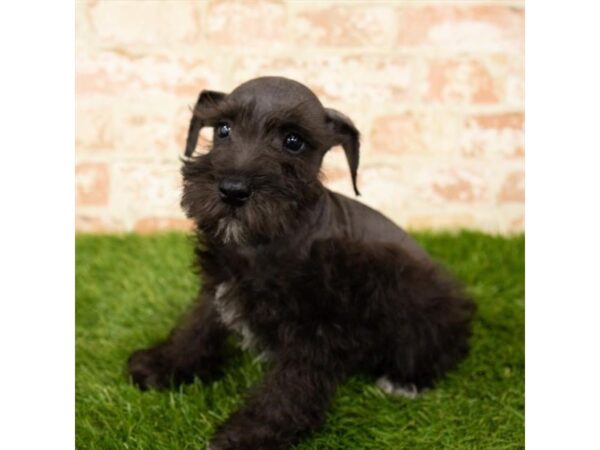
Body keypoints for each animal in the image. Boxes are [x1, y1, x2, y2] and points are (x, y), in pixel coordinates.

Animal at [129, 75, 476, 448]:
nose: (232, 190)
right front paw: (162, 365)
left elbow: (289, 384)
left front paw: (250, 434)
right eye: (223, 129)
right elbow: (196, 326)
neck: (263, 242)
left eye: (293, 141)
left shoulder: (316, 325)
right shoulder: (219, 286)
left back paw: (404, 381)